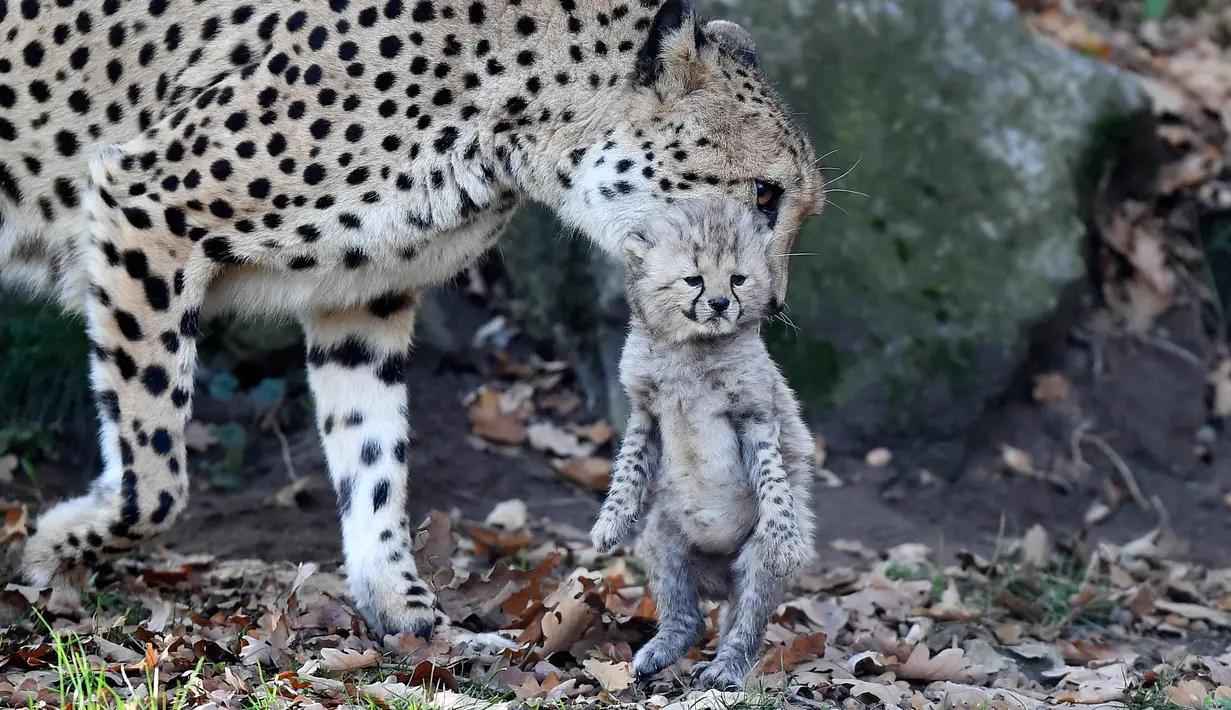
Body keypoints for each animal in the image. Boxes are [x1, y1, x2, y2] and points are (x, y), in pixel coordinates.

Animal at [589, 197, 816, 690]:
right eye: (694, 278)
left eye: (737, 278)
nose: (719, 303)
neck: (692, 348)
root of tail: (719, 580)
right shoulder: (646, 413)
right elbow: (628, 469)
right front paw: (609, 523)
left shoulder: (755, 417)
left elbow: (775, 481)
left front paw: (785, 536)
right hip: (662, 536)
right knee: (689, 619)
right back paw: (659, 651)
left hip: (752, 562)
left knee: (744, 626)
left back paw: (724, 669)